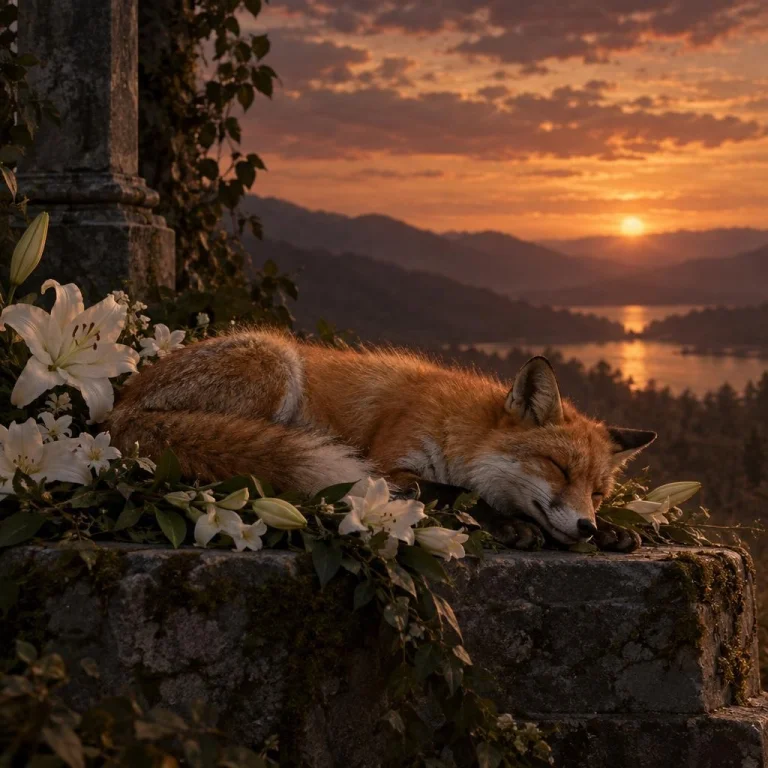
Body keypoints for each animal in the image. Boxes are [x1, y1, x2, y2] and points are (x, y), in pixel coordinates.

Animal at [108, 330, 656, 549]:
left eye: (598, 493)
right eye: (558, 469)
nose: (586, 525)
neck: (460, 428)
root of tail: (121, 408)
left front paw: (613, 532)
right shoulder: (390, 465)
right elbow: (456, 492)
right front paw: (507, 524)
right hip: (275, 362)